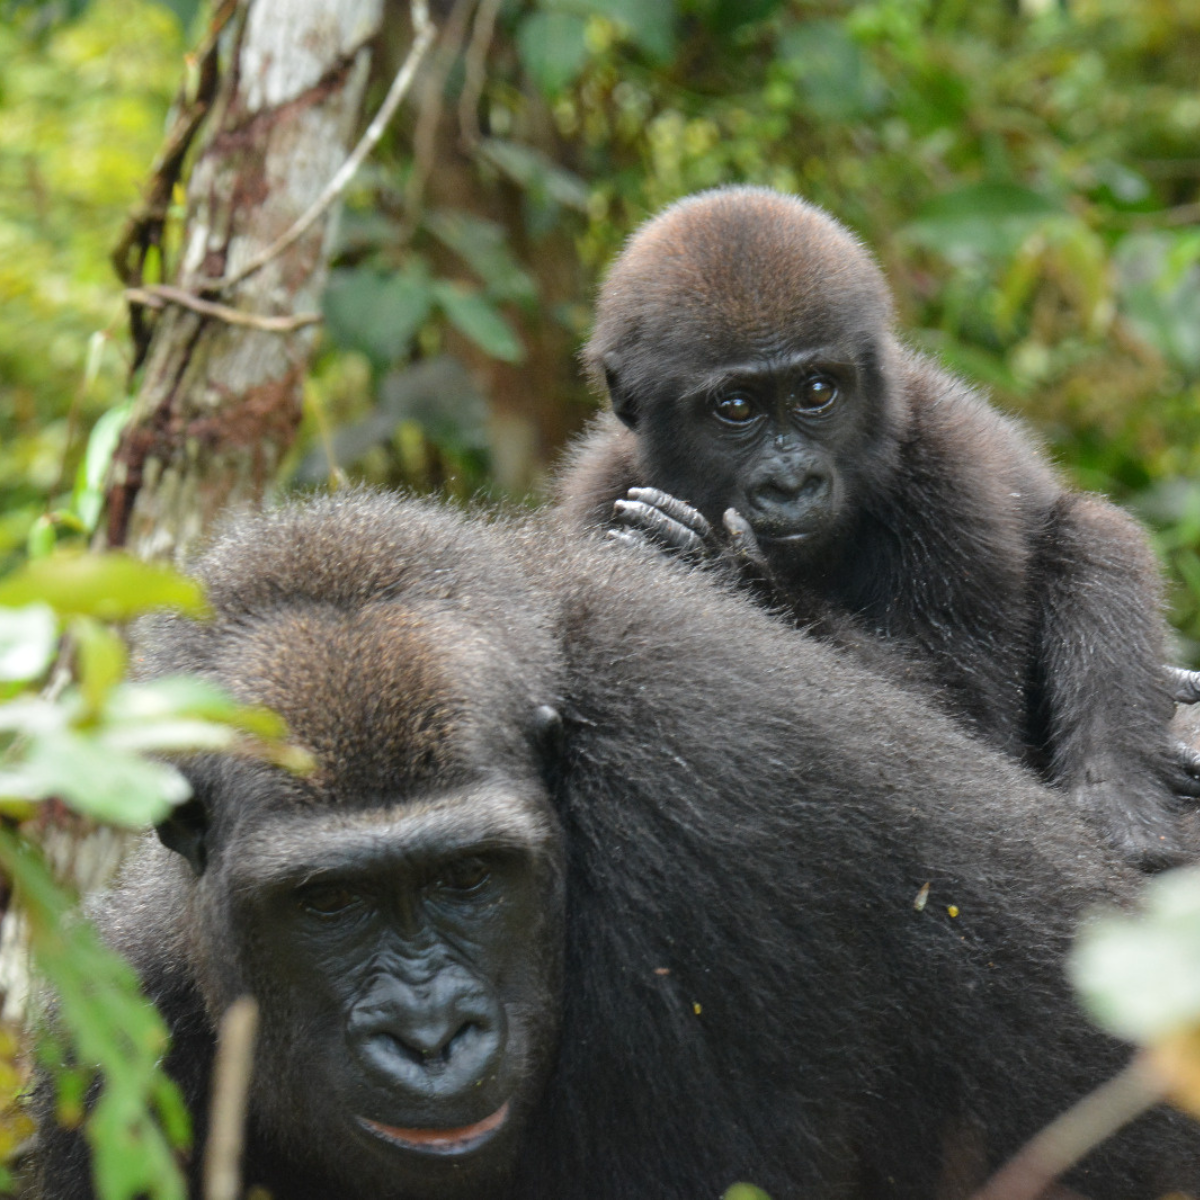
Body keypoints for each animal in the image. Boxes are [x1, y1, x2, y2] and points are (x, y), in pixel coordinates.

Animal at [555, 184, 1200, 869]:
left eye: (817, 391)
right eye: (735, 407)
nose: (792, 483)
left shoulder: (951, 466)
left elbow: (969, 722)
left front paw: (733, 573)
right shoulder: (598, 491)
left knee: (1093, 534)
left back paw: (1124, 812)